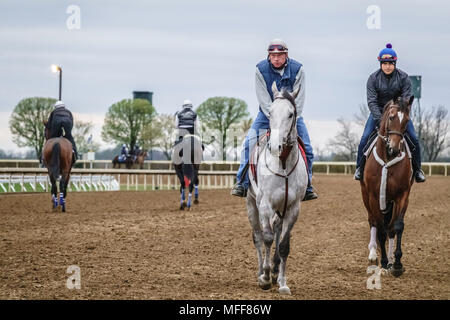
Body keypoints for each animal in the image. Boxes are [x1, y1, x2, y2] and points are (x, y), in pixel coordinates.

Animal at [246, 82, 310, 296]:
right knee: (258, 237)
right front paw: (265, 278)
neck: (282, 164)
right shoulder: (265, 204)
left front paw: (282, 282)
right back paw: (261, 271)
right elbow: (266, 239)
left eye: (291, 114)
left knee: (277, 231)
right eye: (271, 112)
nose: (275, 146)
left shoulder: (293, 208)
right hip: (252, 205)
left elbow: (283, 245)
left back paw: (274, 272)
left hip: (280, 210)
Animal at [362, 95, 414, 278]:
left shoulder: (402, 195)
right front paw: (383, 262)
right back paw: (372, 254)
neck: (387, 159)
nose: (394, 148)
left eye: (407, 120)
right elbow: (381, 229)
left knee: (391, 227)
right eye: (391, 117)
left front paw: (395, 263)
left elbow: (396, 227)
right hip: (366, 196)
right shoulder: (374, 196)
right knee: (373, 222)